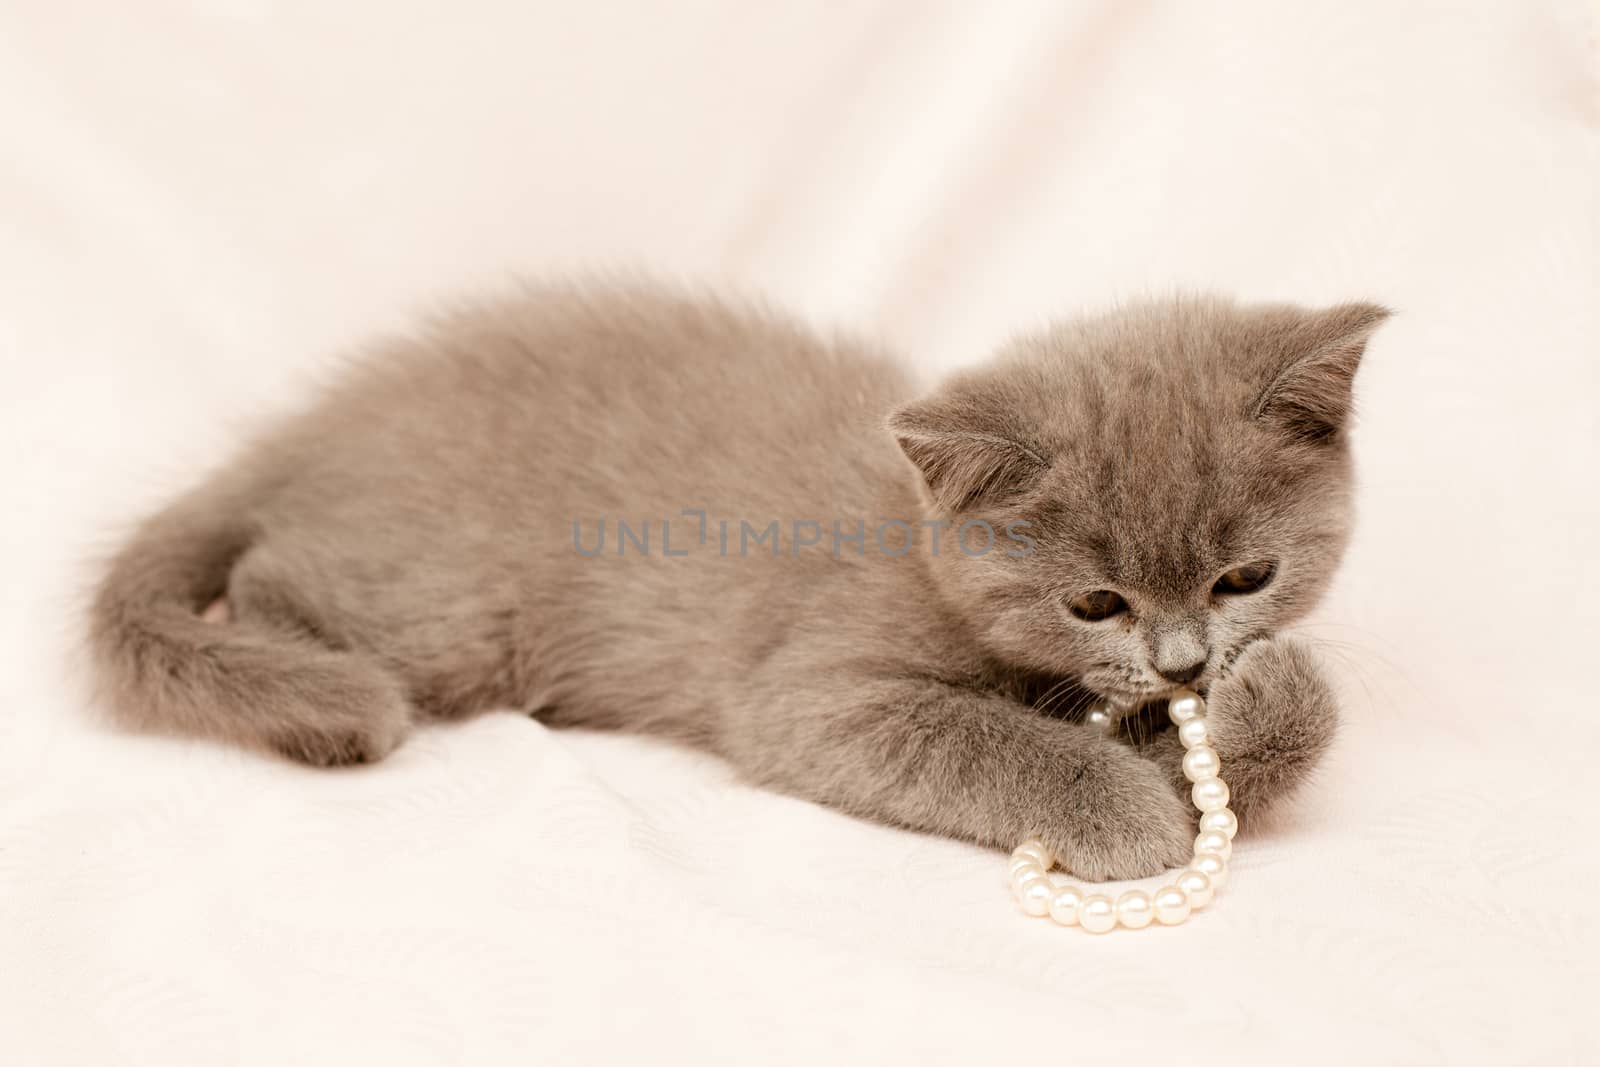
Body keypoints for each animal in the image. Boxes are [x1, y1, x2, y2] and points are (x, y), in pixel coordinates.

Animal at [90, 279, 1388, 883]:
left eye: (1245, 575)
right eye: (1093, 601)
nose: (1184, 658)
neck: (918, 535)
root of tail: (327, 421)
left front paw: (1266, 700)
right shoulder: (809, 695)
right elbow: (990, 738)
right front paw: (1119, 807)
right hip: (441, 609)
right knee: (275, 574)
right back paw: (318, 707)